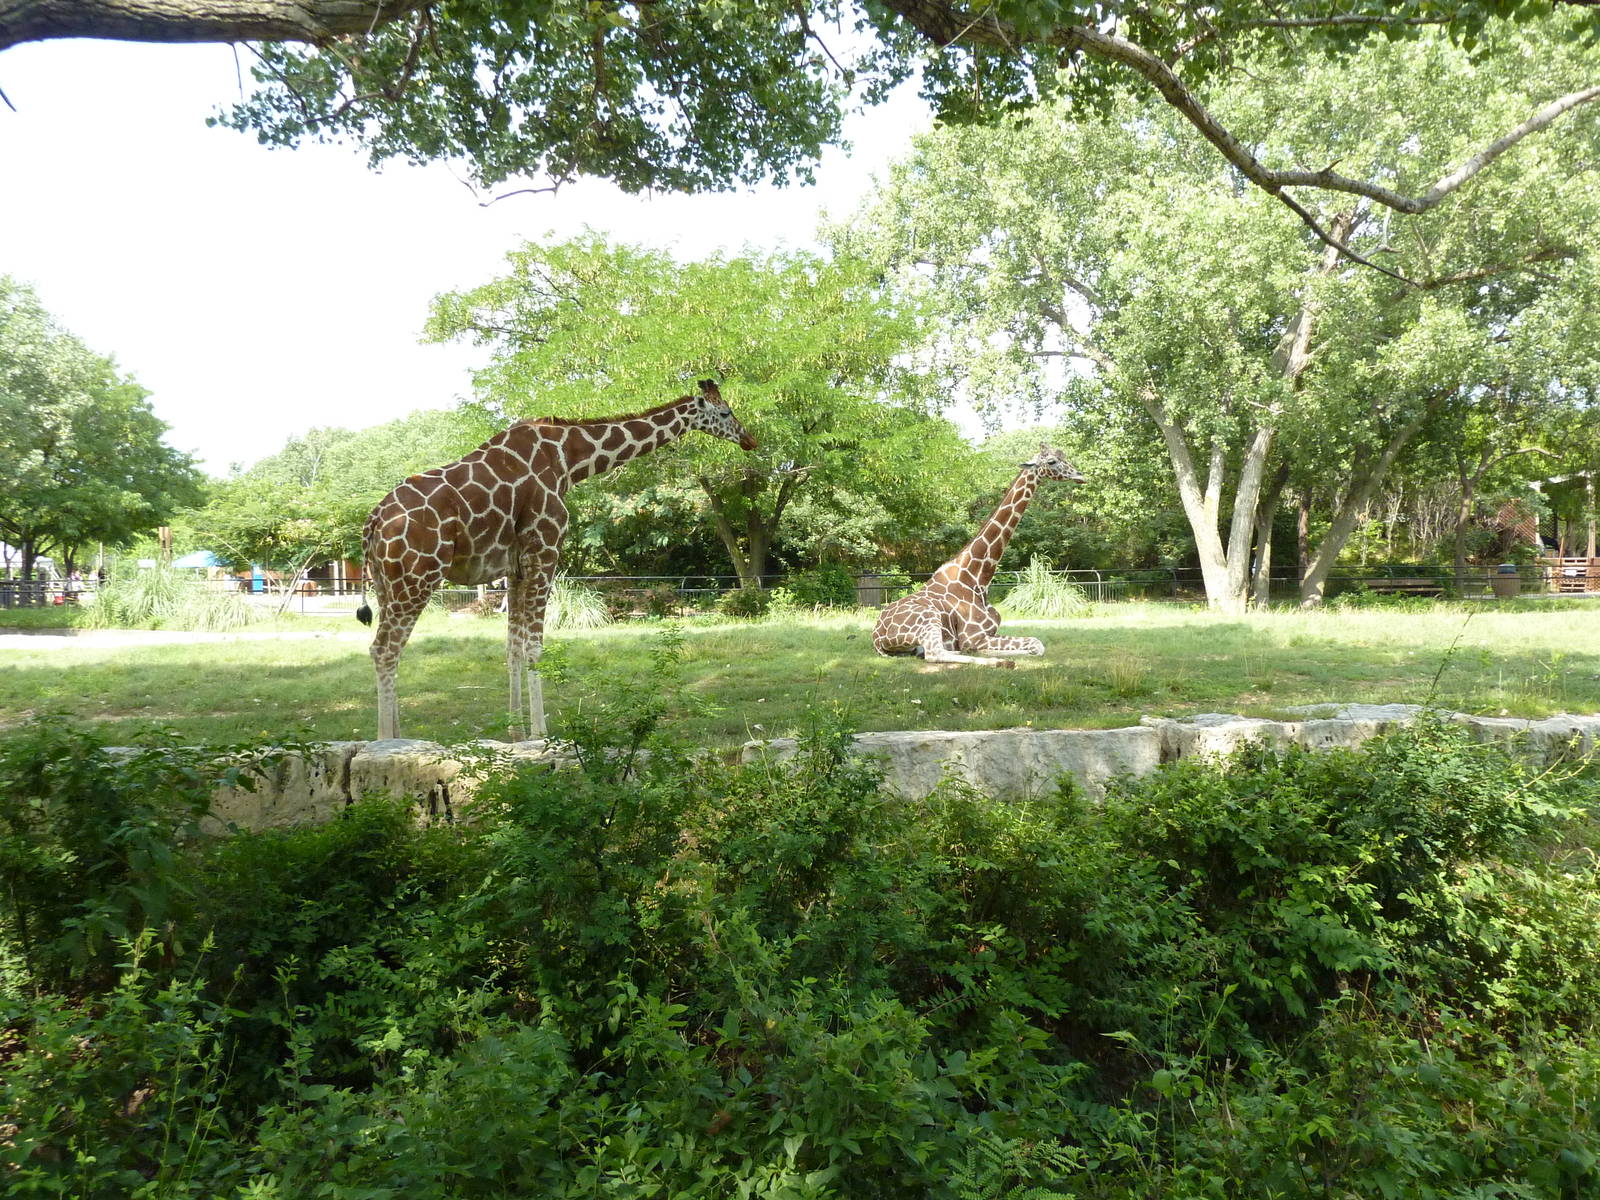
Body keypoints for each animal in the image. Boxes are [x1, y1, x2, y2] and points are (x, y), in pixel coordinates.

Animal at [357, 380, 756, 741]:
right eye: (725, 412)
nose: (749, 440)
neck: (568, 460)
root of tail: (374, 520)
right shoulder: (545, 552)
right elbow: (535, 647)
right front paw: (541, 733)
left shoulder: (514, 568)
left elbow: (513, 648)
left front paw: (517, 733)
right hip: (418, 578)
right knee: (384, 649)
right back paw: (387, 743)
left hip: (387, 584)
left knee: (389, 650)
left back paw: (401, 738)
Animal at [873, 444, 1085, 666]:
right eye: (1052, 461)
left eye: (1064, 456)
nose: (1080, 475)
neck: (978, 579)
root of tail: (877, 637)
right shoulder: (973, 636)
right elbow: (1036, 644)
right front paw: (999, 656)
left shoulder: (989, 633)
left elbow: (1036, 645)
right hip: (928, 618)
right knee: (935, 653)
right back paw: (1000, 662)